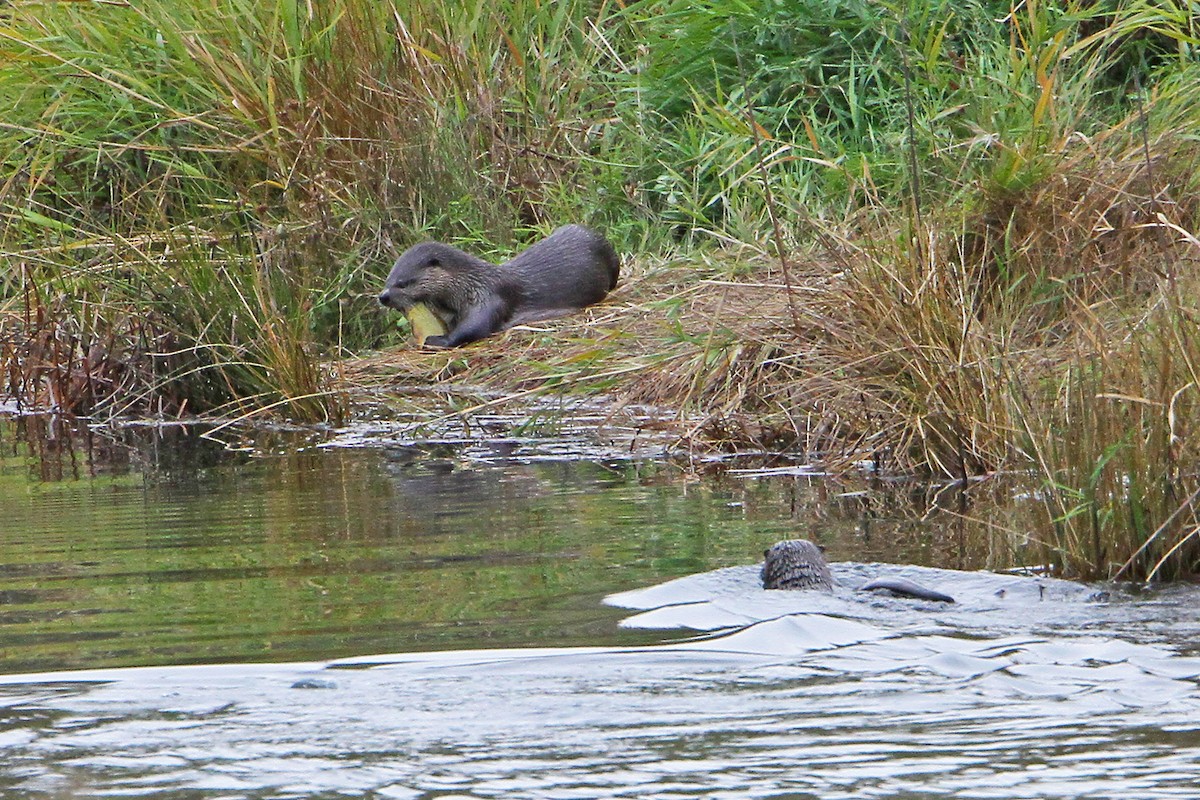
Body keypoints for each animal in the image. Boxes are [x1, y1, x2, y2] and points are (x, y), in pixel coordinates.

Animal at [378, 224, 620, 349]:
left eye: (403, 282)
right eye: (388, 280)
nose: (383, 296)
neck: (467, 284)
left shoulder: (488, 298)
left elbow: (473, 328)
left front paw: (438, 340)